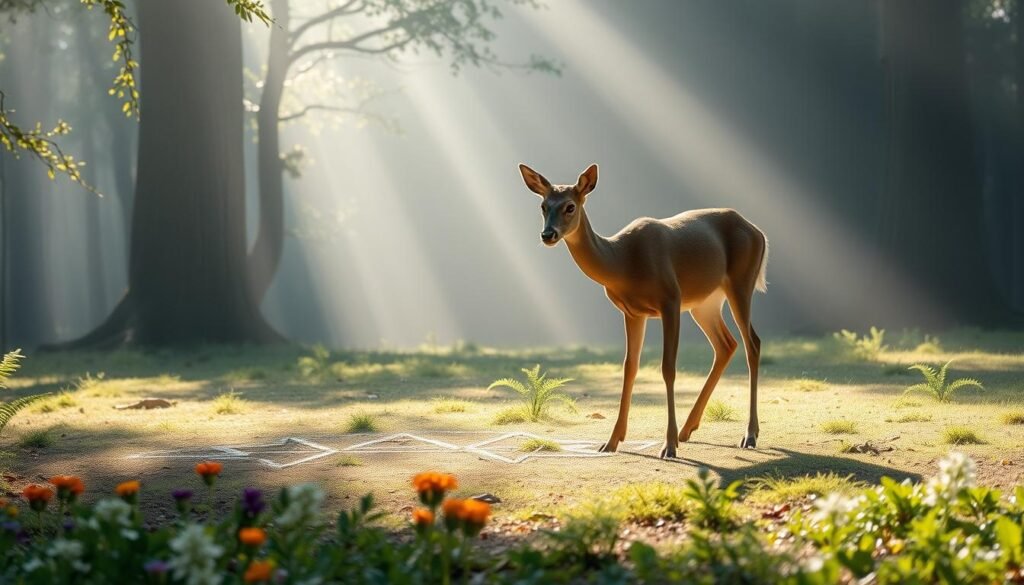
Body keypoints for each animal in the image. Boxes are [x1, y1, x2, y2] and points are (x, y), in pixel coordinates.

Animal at [517, 163, 768, 458]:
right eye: (543, 206)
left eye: (570, 206)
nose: (548, 235)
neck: (622, 261)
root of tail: (759, 232)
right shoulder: (632, 312)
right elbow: (630, 366)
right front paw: (611, 441)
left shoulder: (670, 299)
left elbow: (668, 367)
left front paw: (667, 446)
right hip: (704, 303)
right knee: (726, 344)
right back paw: (687, 430)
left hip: (741, 283)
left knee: (752, 343)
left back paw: (749, 435)